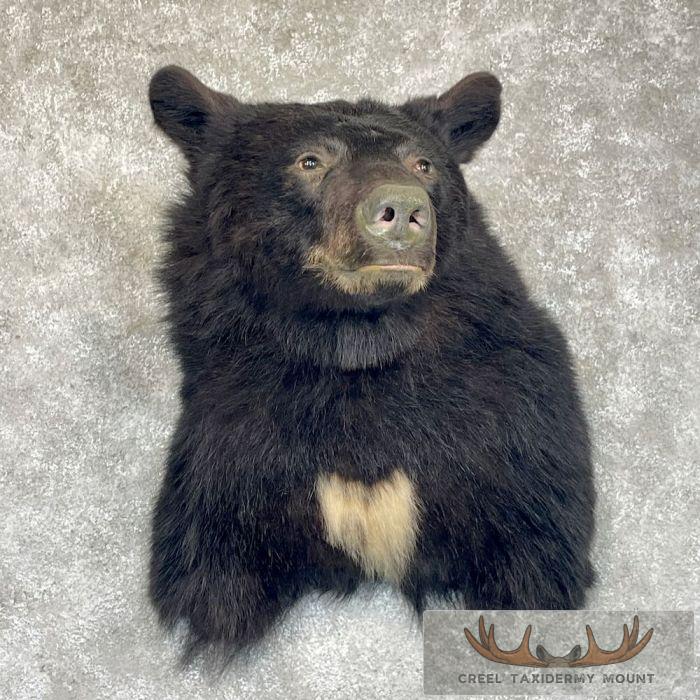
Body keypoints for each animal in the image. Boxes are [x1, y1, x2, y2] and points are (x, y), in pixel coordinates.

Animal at [147, 65, 596, 663]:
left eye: (423, 164)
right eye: (311, 161)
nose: (403, 209)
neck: (358, 341)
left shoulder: (516, 422)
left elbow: (537, 543)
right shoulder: (231, 435)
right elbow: (207, 565)